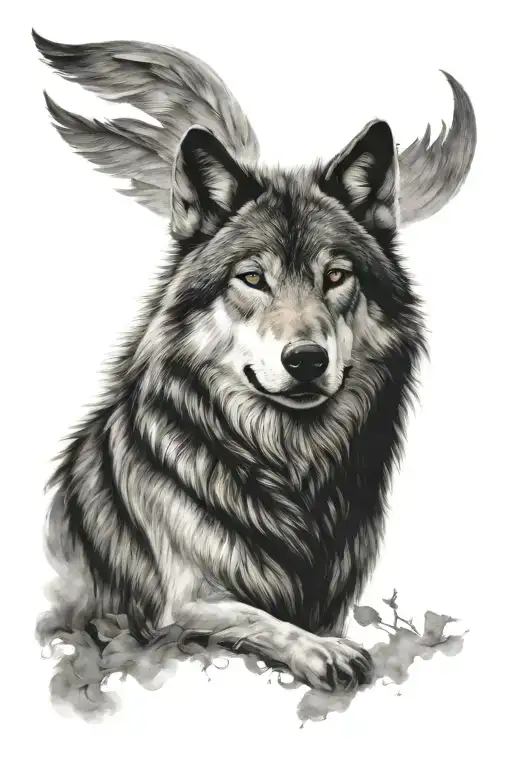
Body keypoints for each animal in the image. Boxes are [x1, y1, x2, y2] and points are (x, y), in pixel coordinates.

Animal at [33, 30, 476, 693]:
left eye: (336, 276)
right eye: (252, 278)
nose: (307, 360)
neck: (290, 469)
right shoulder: (183, 605)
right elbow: (260, 617)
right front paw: (322, 652)